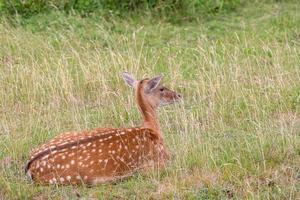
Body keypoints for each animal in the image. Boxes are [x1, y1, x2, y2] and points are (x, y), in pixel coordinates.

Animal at [24, 72, 180, 186]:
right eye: (161, 88)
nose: (178, 95)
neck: (152, 130)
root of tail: (30, 166)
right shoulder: (159, 162)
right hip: (77, 178)